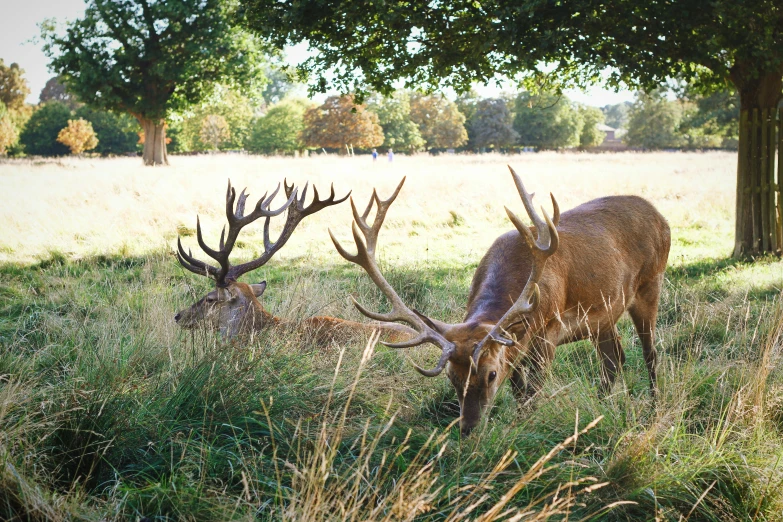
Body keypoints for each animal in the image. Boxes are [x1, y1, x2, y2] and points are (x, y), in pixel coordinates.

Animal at [328, 168, 672, 434]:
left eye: (491, 374)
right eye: (452, 376)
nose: (468, 428)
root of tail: (660, 216)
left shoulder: (548, 329)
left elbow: (532, 392)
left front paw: (522, 427)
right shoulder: (516, 345)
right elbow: (519, 390)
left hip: (651, 284)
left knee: (650, 353)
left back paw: (655, 408)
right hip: (604, 316)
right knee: (614, 358)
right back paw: (601, 407)